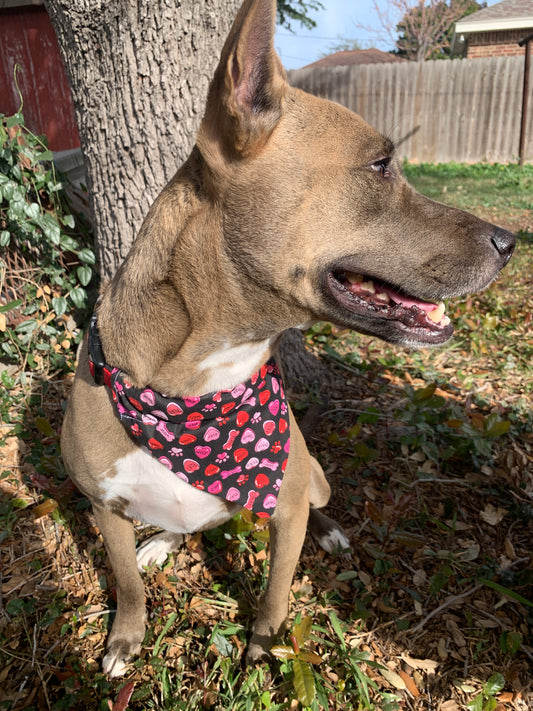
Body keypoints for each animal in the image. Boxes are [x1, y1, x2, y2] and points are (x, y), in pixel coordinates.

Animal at [60, 0, 512, 680]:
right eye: (381, 166)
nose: (511, 242)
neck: (195, 386)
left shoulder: (286, 502)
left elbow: (276, 589)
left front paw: (264, 646)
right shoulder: (104, 509)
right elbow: (127, 585)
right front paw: (125, 639)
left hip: (311, 476)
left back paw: (325, 531)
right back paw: (164, 542)